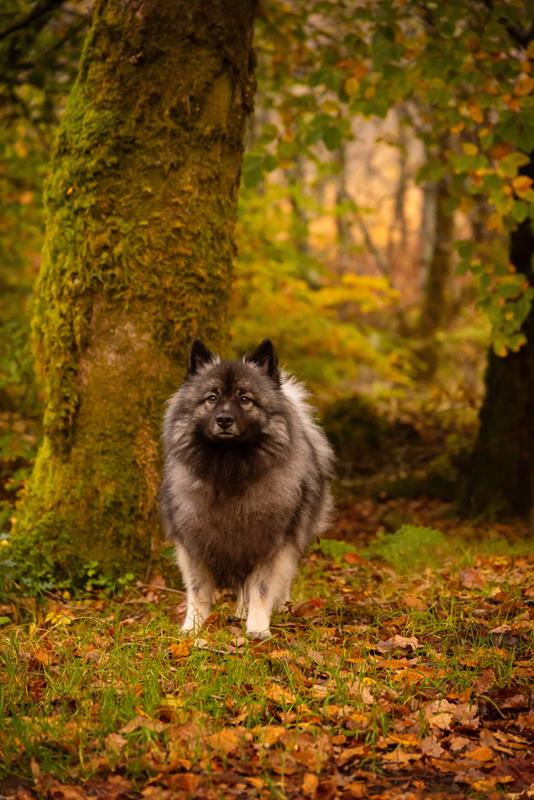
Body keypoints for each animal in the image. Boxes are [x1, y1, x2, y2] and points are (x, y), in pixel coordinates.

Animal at [159, 338, 336, 636]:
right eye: (212, 398)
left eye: (245, 400)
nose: (224, 419)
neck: (229, 468)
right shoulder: (193, 542)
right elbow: (197, 590)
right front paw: (193, 628)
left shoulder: (271, 542)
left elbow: (262, 588)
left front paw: (258, 628)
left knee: (278, 581)